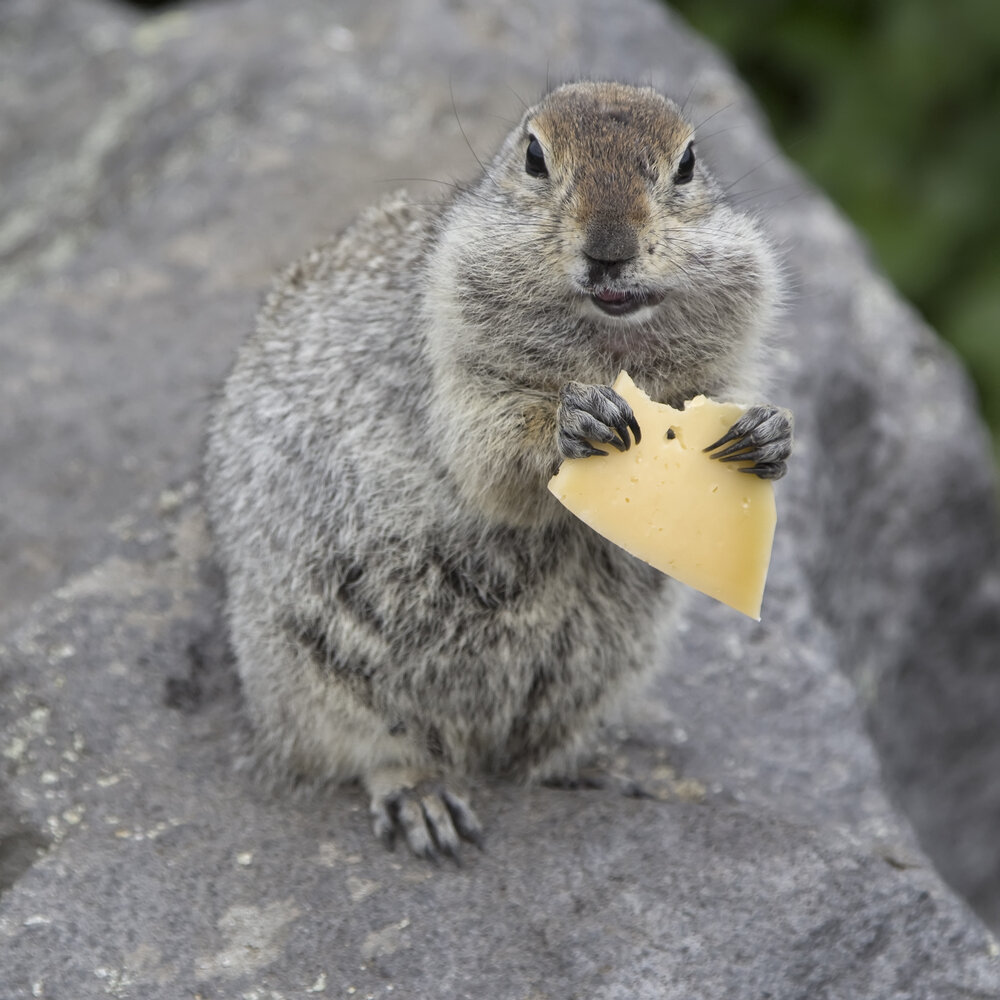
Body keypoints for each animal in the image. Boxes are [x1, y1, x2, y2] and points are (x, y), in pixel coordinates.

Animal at [207, 80, 792, 860]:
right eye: (534, 157)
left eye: (689, 162)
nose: (609, 248)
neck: (607, 346)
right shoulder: (450, 372)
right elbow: (491, 453)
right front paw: (577, 419)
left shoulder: (725, 365)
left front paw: (765, 434)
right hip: (304, 662)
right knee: (366, 749)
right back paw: (423, 798)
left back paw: (587, 769)